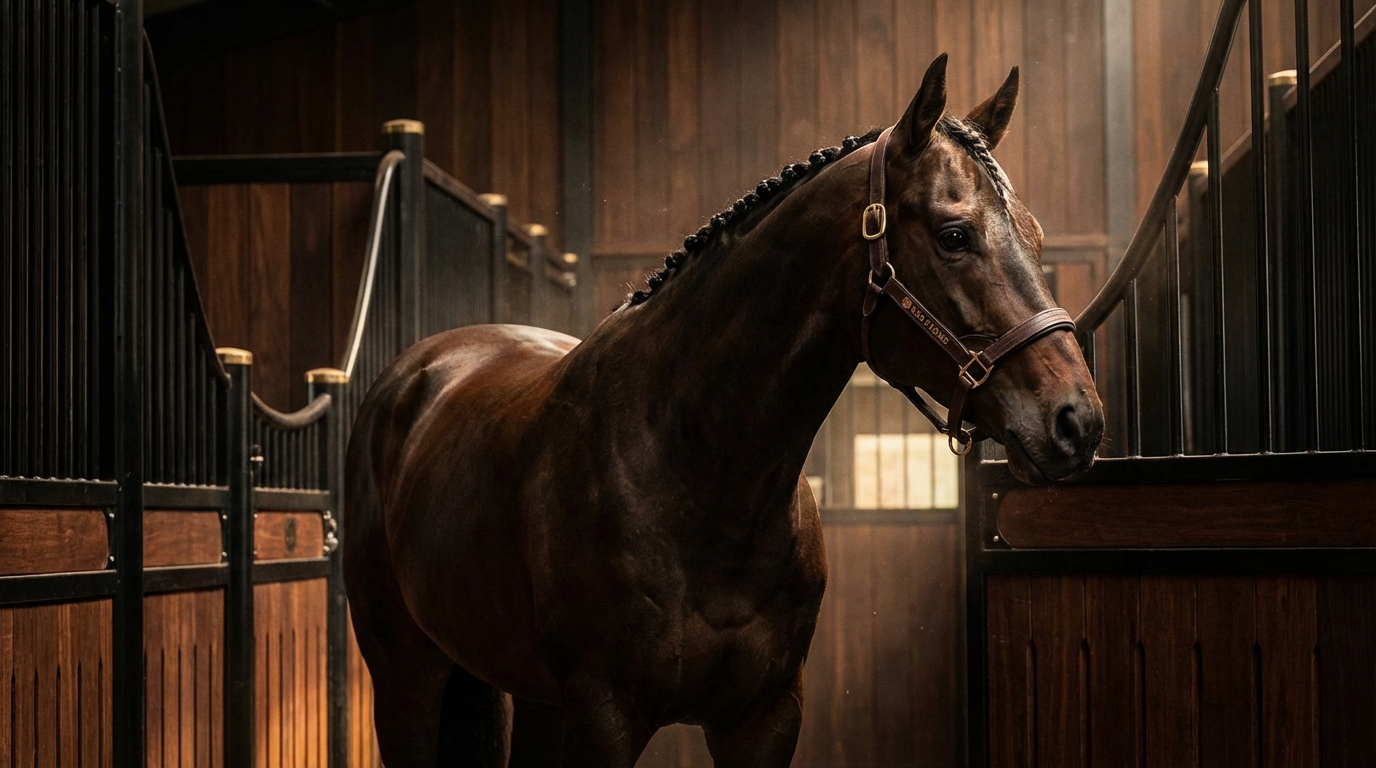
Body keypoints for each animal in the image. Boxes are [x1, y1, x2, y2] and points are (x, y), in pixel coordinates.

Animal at [344, 53, 1103, 767]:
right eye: (954, 235)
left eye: (1036, 237)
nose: (1078, 420)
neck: (692, 466)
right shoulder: (602, 719)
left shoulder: (764, 718)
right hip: (408, 676)